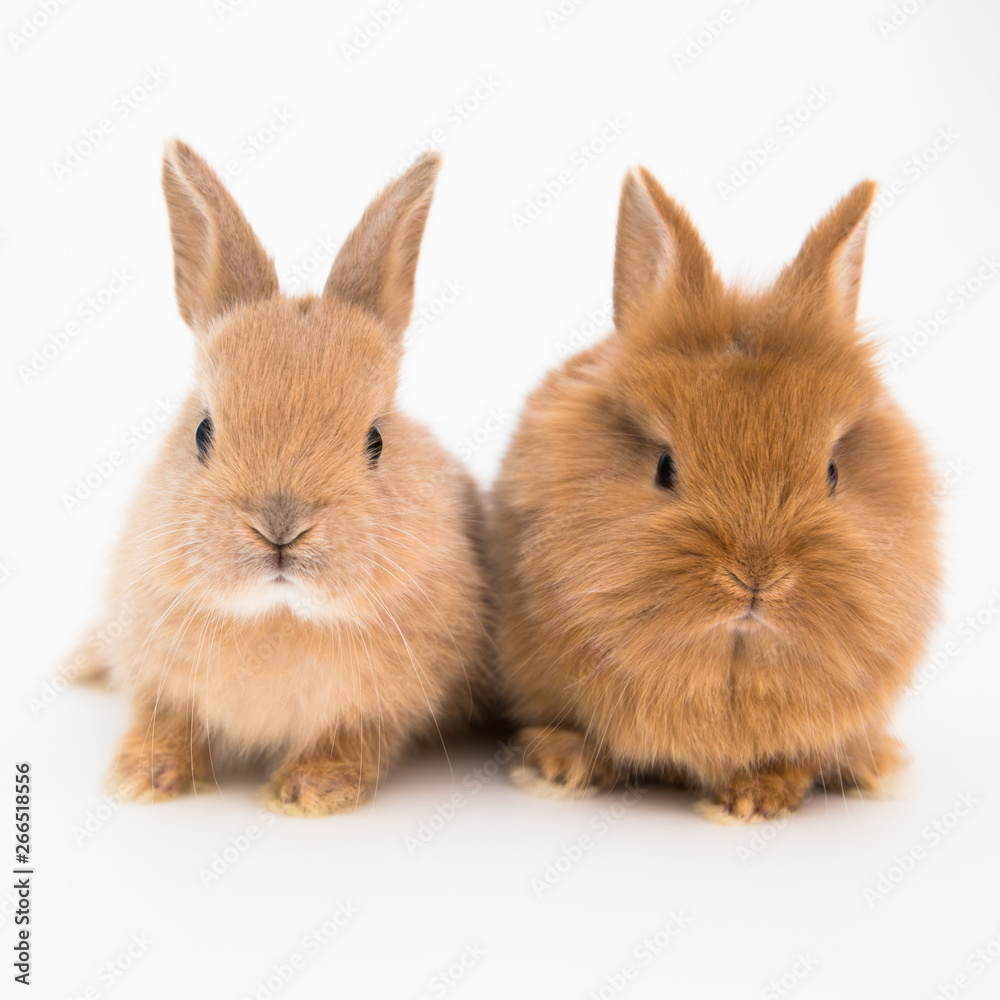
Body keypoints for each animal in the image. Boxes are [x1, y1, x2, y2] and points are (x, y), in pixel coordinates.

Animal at [75, 140, 493, 816]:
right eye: (202, 431)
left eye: (376, 441)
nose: (280, 528)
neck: (278, 616)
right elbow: (165, 721)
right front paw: (141, 778)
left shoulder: (380, 707)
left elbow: (354, 740)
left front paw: (305, 792)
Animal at [492, 167, 940, 823]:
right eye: (664, 467)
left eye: (833, 472)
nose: (757, 579)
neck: (733, 651)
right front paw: (563, 766)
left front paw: (754, 799)